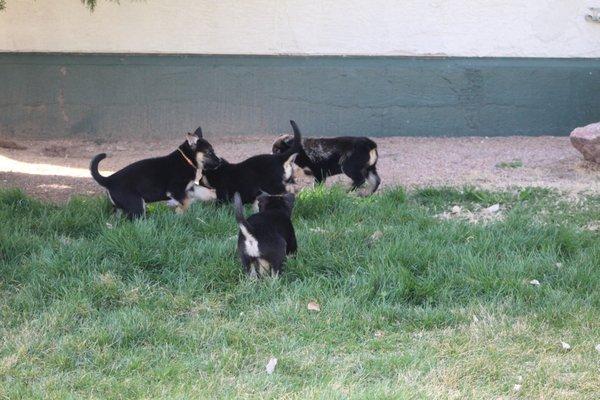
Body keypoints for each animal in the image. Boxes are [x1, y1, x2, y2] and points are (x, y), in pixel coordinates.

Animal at [89, 126, 220, 219]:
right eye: (209, 152)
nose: (219, 161)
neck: (186, 160)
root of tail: (109, 179)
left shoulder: (189, 187)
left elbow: (206, 192)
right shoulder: (176, 190)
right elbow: (186, 203)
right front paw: (180, 213)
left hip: (121, 207)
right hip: (136, 203)